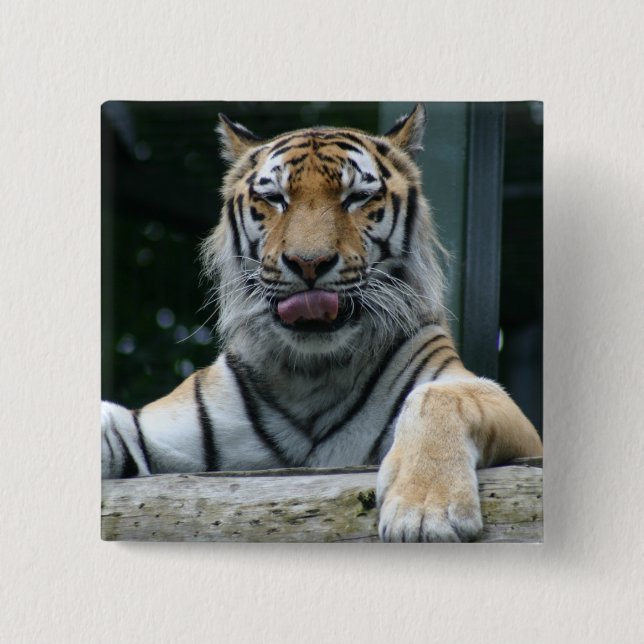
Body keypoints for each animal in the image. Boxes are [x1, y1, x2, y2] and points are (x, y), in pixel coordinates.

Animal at [101, 103, 543, 542]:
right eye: (275, 198)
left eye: (357, 197)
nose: (308, 262)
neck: (315, 372)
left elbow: (438, 397)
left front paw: (424, 512)